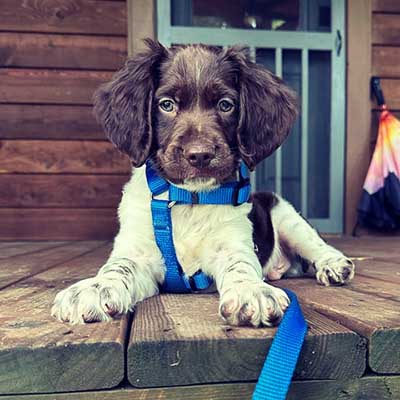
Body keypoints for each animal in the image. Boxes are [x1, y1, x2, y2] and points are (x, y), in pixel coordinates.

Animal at [51, 40, 354, 326]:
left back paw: (335, 265)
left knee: (316, 244)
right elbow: (119, 266)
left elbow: (240, 265)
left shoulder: (233, 243)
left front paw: (250, 290)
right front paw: (95, 287)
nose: (200, 155)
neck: (189, 198)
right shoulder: (139, 251)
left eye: (226, 105)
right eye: (166, 104)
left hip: (286, 215)